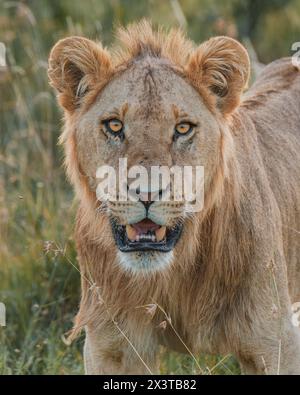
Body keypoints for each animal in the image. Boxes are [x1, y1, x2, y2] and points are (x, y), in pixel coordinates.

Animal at [48, 20, 300, 374]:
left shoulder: (274, 342)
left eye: (182, 128)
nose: (146, 192)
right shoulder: (111, 346)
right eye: (115, 125)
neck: (175, 275)